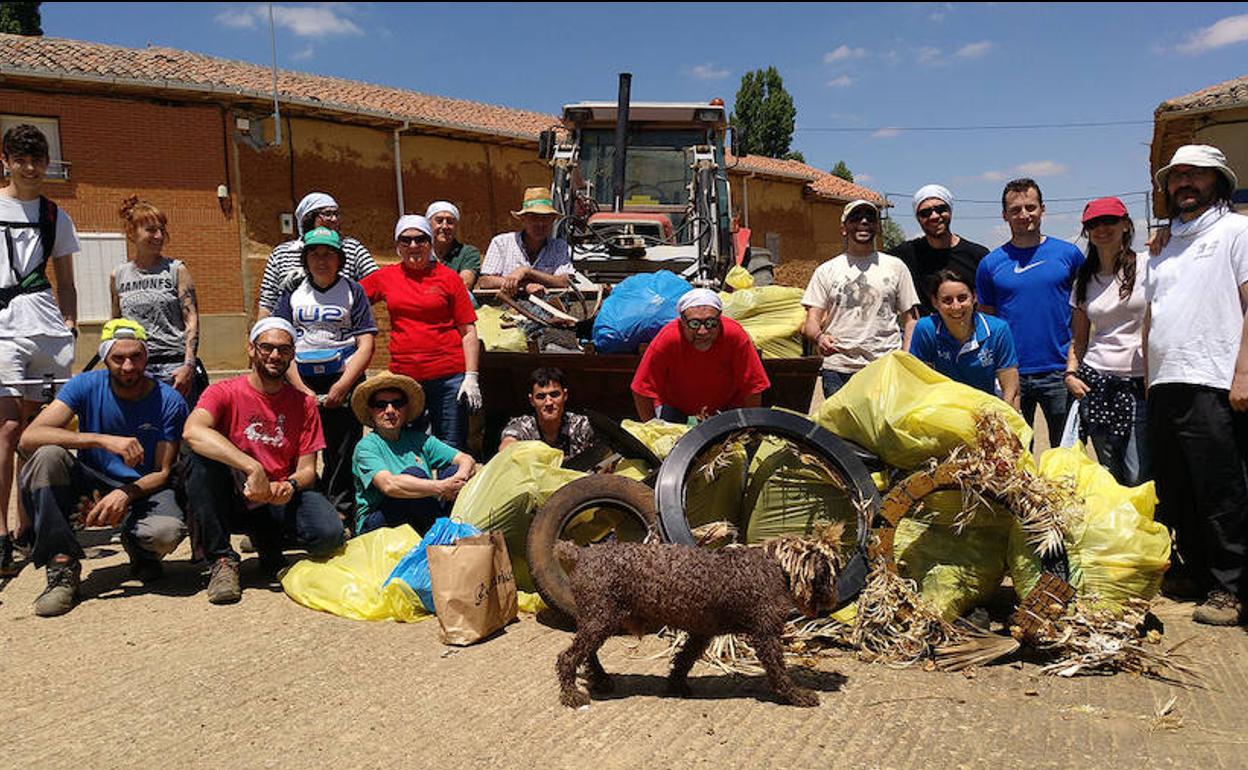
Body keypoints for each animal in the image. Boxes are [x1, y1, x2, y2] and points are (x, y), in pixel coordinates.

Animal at [554, 529, 838, 708]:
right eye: (829, 573)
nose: (833, 600)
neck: (775, 566)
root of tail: (582, 554)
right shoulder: (765, 635)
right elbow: (779, 671)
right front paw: (797, 695)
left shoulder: (702, 633)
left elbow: (683, 661)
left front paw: (676, 686)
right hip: (600, 619)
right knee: (567, 658)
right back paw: (572, 695)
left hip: (600, 620)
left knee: (586, 653)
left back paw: (600, 679)